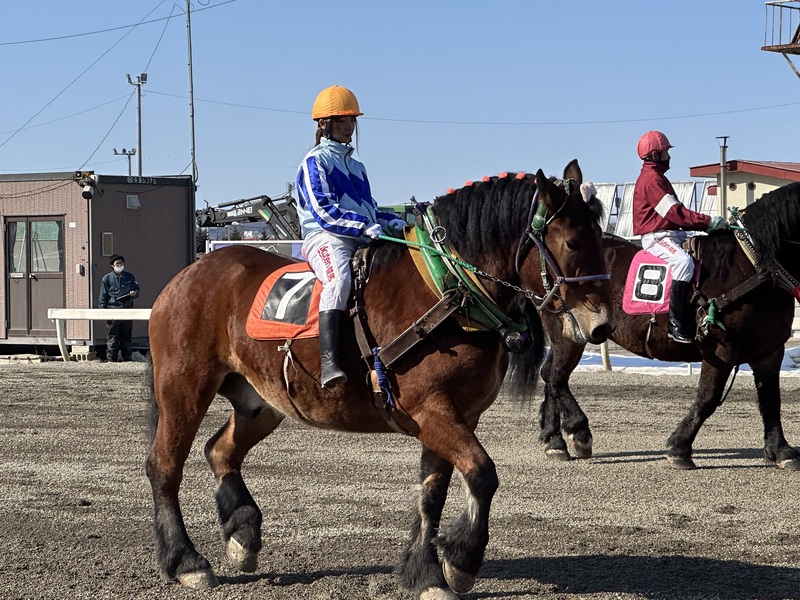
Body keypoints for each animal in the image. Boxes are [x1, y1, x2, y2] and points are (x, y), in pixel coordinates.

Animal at [144, 159, 614, 599]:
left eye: (602, 240)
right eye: (573, 242)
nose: (602, 326)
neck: (447, 290)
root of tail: (189, 274)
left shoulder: (456, 416)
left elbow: (433, 493)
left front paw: (425, 572)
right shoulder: (431, 411)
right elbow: (482, 473)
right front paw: (462, 559)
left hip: (261, 404)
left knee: (220, 451)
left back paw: (242, 532)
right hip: (184, 389)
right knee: (164, 466)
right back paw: (185, 560)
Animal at [538, 181, 800, 471]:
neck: (751, 268)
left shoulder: (770, 352)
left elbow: (771, 401)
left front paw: (781, 450)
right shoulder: (720, 350)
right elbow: (707, 399)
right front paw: (679, 446)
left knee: (550, 375)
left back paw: (553, 439)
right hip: (569, 335)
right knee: (556, 377)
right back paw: (575, 431)